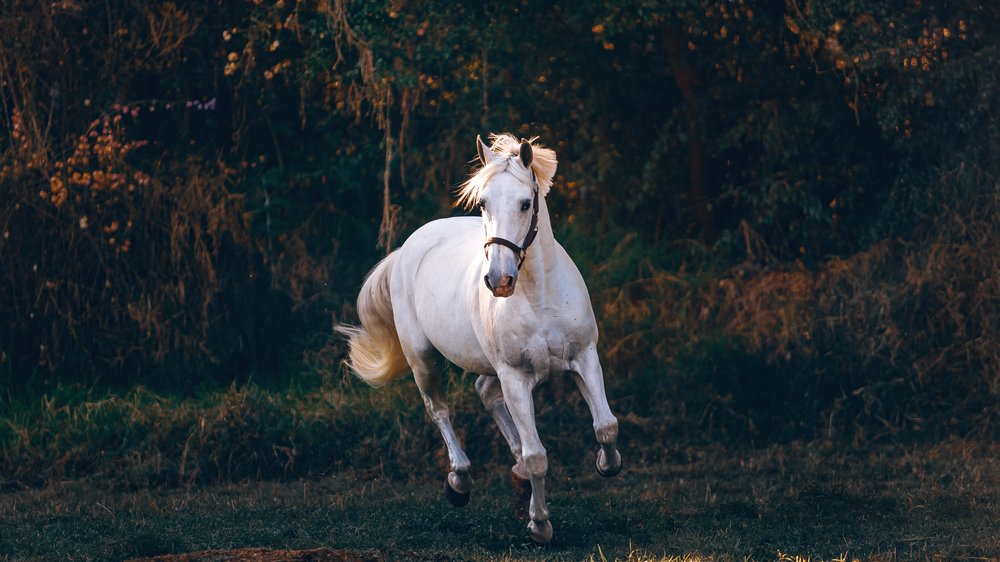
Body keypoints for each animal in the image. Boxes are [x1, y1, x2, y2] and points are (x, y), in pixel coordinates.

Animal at [340, 132, 620, 544]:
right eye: (484, 203)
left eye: (525, 203)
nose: (498, 280)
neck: (539, 295)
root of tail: (408, 248)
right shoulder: (515, 377)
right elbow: (538, 456)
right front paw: (540, 525)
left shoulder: (584, 358)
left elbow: (606, 426)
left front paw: (605, 464)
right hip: (423, 358)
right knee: (439, 409)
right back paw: (459, 482)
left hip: (490, 365)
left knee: (484, 393)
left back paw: (515, 475)